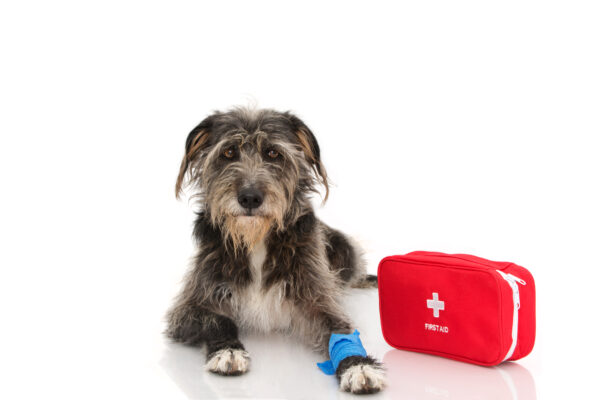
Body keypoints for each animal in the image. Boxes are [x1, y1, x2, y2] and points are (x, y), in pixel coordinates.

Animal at [166, 106, 386, 394]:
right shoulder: (187, 308)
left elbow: (338, 328)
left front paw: (358, 365)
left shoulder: (316, 295)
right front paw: (228, 351)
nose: (249, 198)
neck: (255, 239)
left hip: (344, 248)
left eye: (273, 153)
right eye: (228, 152)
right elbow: (218, 320)